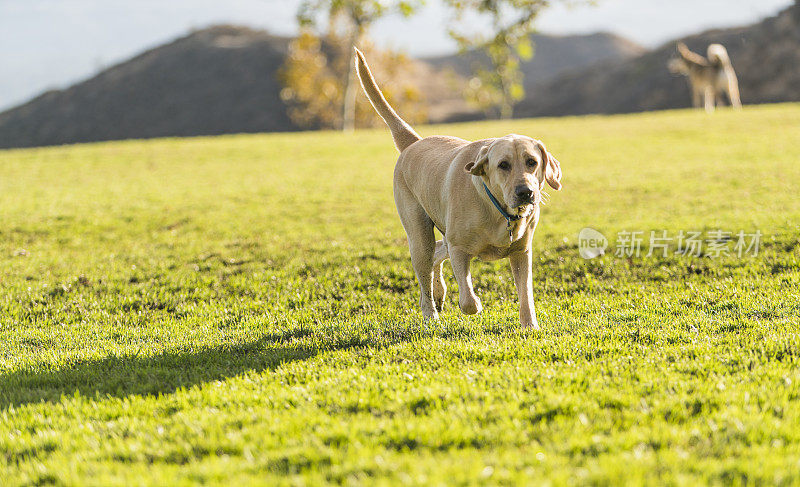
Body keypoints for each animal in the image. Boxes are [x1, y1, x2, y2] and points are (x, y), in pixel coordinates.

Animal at [354, 48, 564, 332]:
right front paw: (476, 304)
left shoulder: (522, 252)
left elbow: (526, 295)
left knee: (436, 254)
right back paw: (431, 313)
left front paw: (530, 326)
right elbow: (467, 300)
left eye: (532, 162)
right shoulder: (459, 249)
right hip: (418, 236)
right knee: (426, 274)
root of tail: (414, 143)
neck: (497, 209)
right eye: (503, 165)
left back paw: (439, 292)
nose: (525, 192)